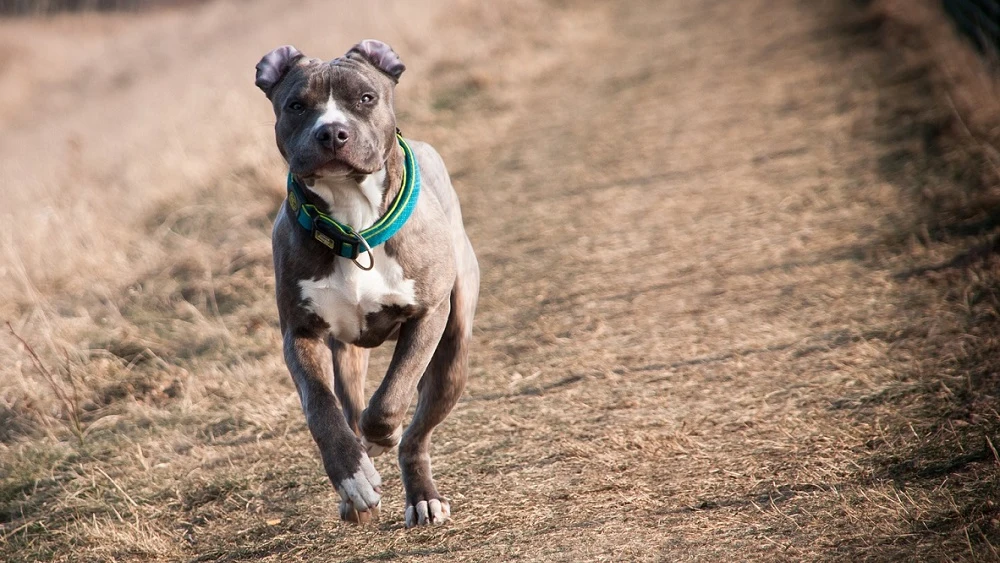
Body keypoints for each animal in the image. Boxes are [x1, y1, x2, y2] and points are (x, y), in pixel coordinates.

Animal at [256, 40, 478, 528]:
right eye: (296, 105)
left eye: (365, 98)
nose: (332, 133)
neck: (353, 223)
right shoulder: (300, 334)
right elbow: (321, 410)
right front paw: (353, 476)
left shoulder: (427, 316)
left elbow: (392, 397)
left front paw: (380, 439)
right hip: (348, 354)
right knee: (351, 404)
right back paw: (356, 488)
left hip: (453, 355)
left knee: (416, 435)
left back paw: (422, 496)